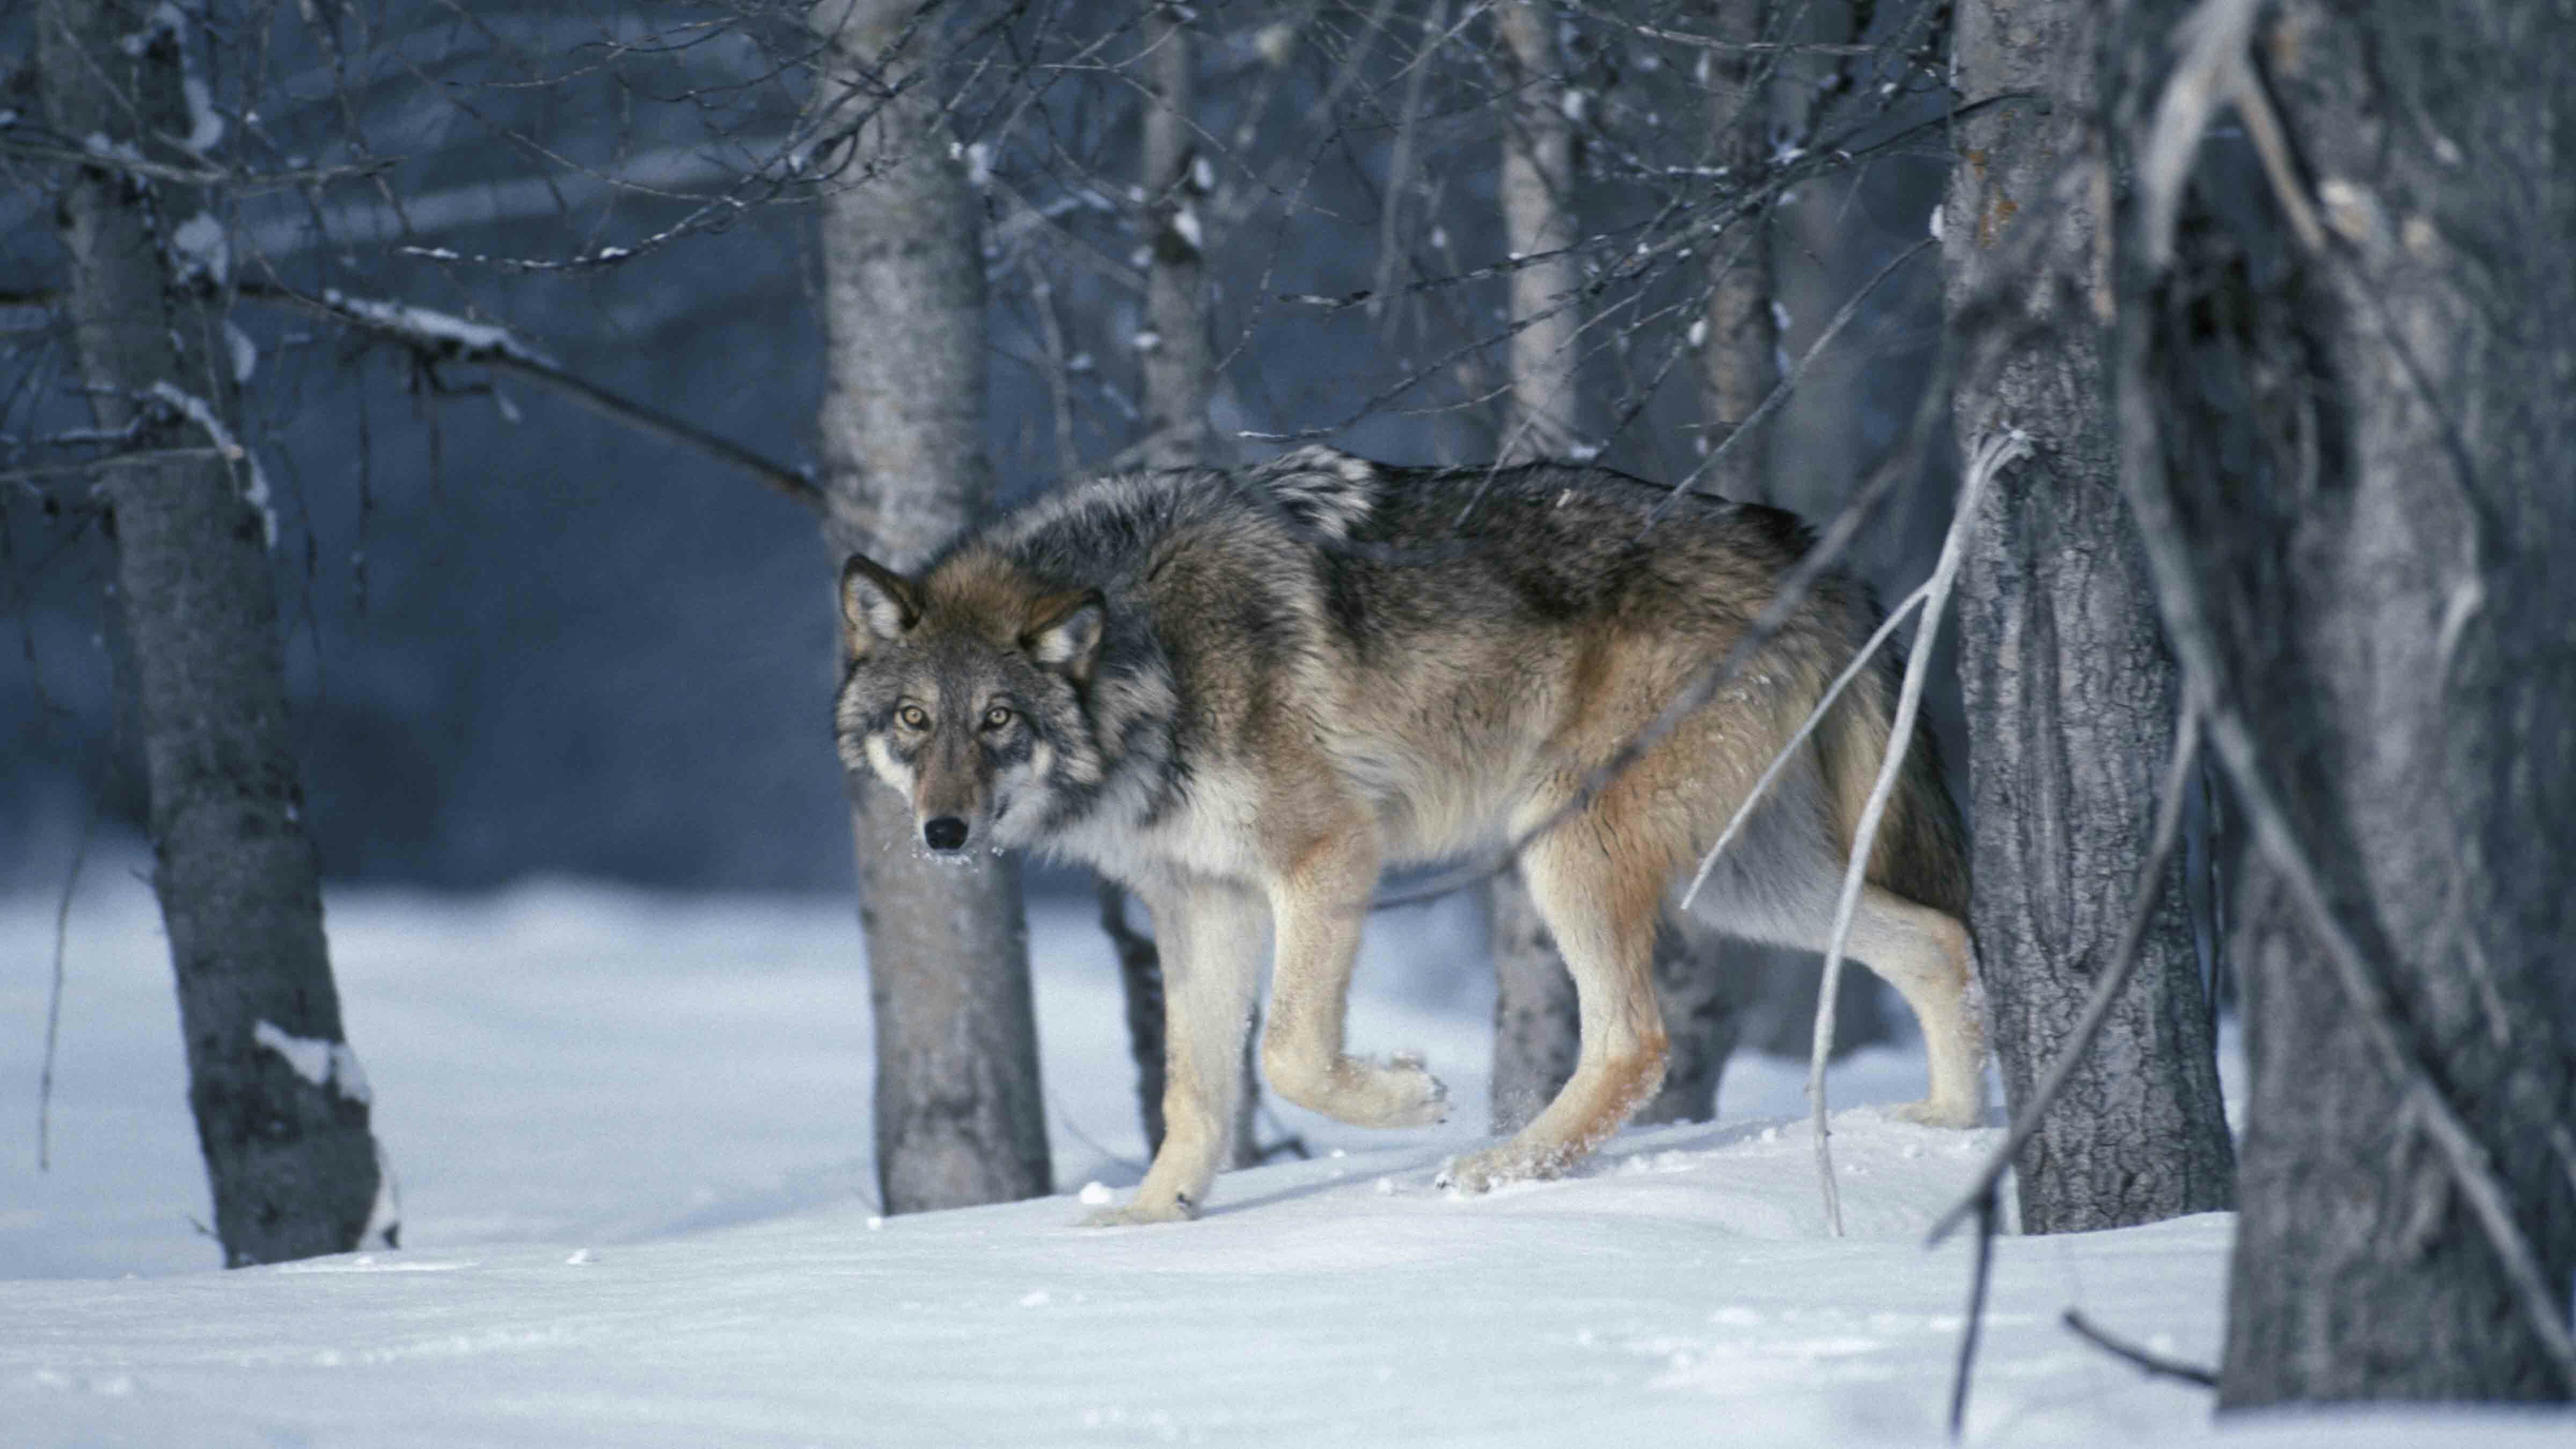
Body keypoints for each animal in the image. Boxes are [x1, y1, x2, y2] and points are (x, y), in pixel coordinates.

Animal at [832, 446, 1982, 1224]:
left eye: (999, 720)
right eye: (915, 721)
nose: (944, 830)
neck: (1148, 654)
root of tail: (1807, 544)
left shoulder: (1327, 855)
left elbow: (1290, 1052)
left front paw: (1411, 1097)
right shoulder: (1202, 903)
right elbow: (1193, 1093)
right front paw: (1153, 1219)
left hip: (1569, 847)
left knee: (1636, 1042)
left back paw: (1497, 1167)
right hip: (1742, 881)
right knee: (1938, 940)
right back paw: (1952, 1125)